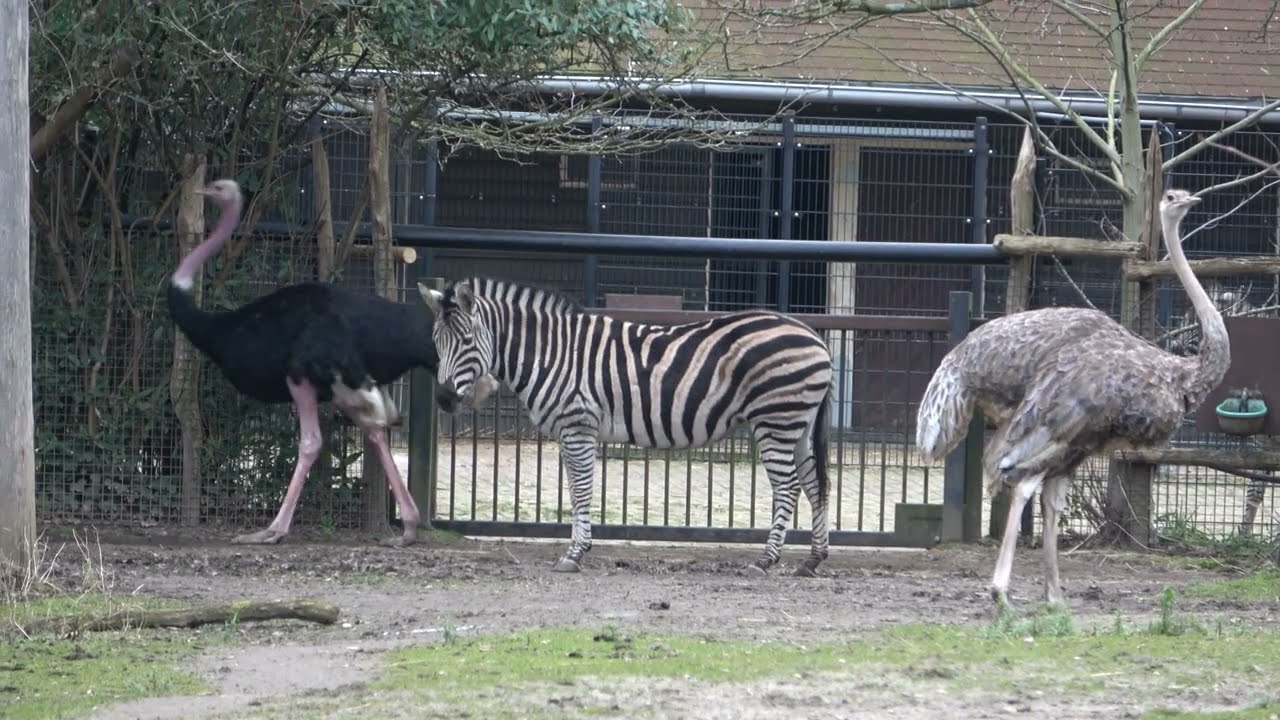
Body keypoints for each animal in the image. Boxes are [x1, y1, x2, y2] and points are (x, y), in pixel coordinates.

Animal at [419, 276, 835, 577]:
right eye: (436, 340)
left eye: (467, 340)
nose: (443, 399)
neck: (551, 354)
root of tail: (815, 337)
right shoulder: (571, 433)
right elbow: (575, 492)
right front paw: (578, 549)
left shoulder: (578, 426)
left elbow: (582, 491)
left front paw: (574, 555)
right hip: (797, 425)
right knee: (814, 485)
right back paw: (812, 560)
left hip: (774, 421)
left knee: (788, 488)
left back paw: (765, 561)